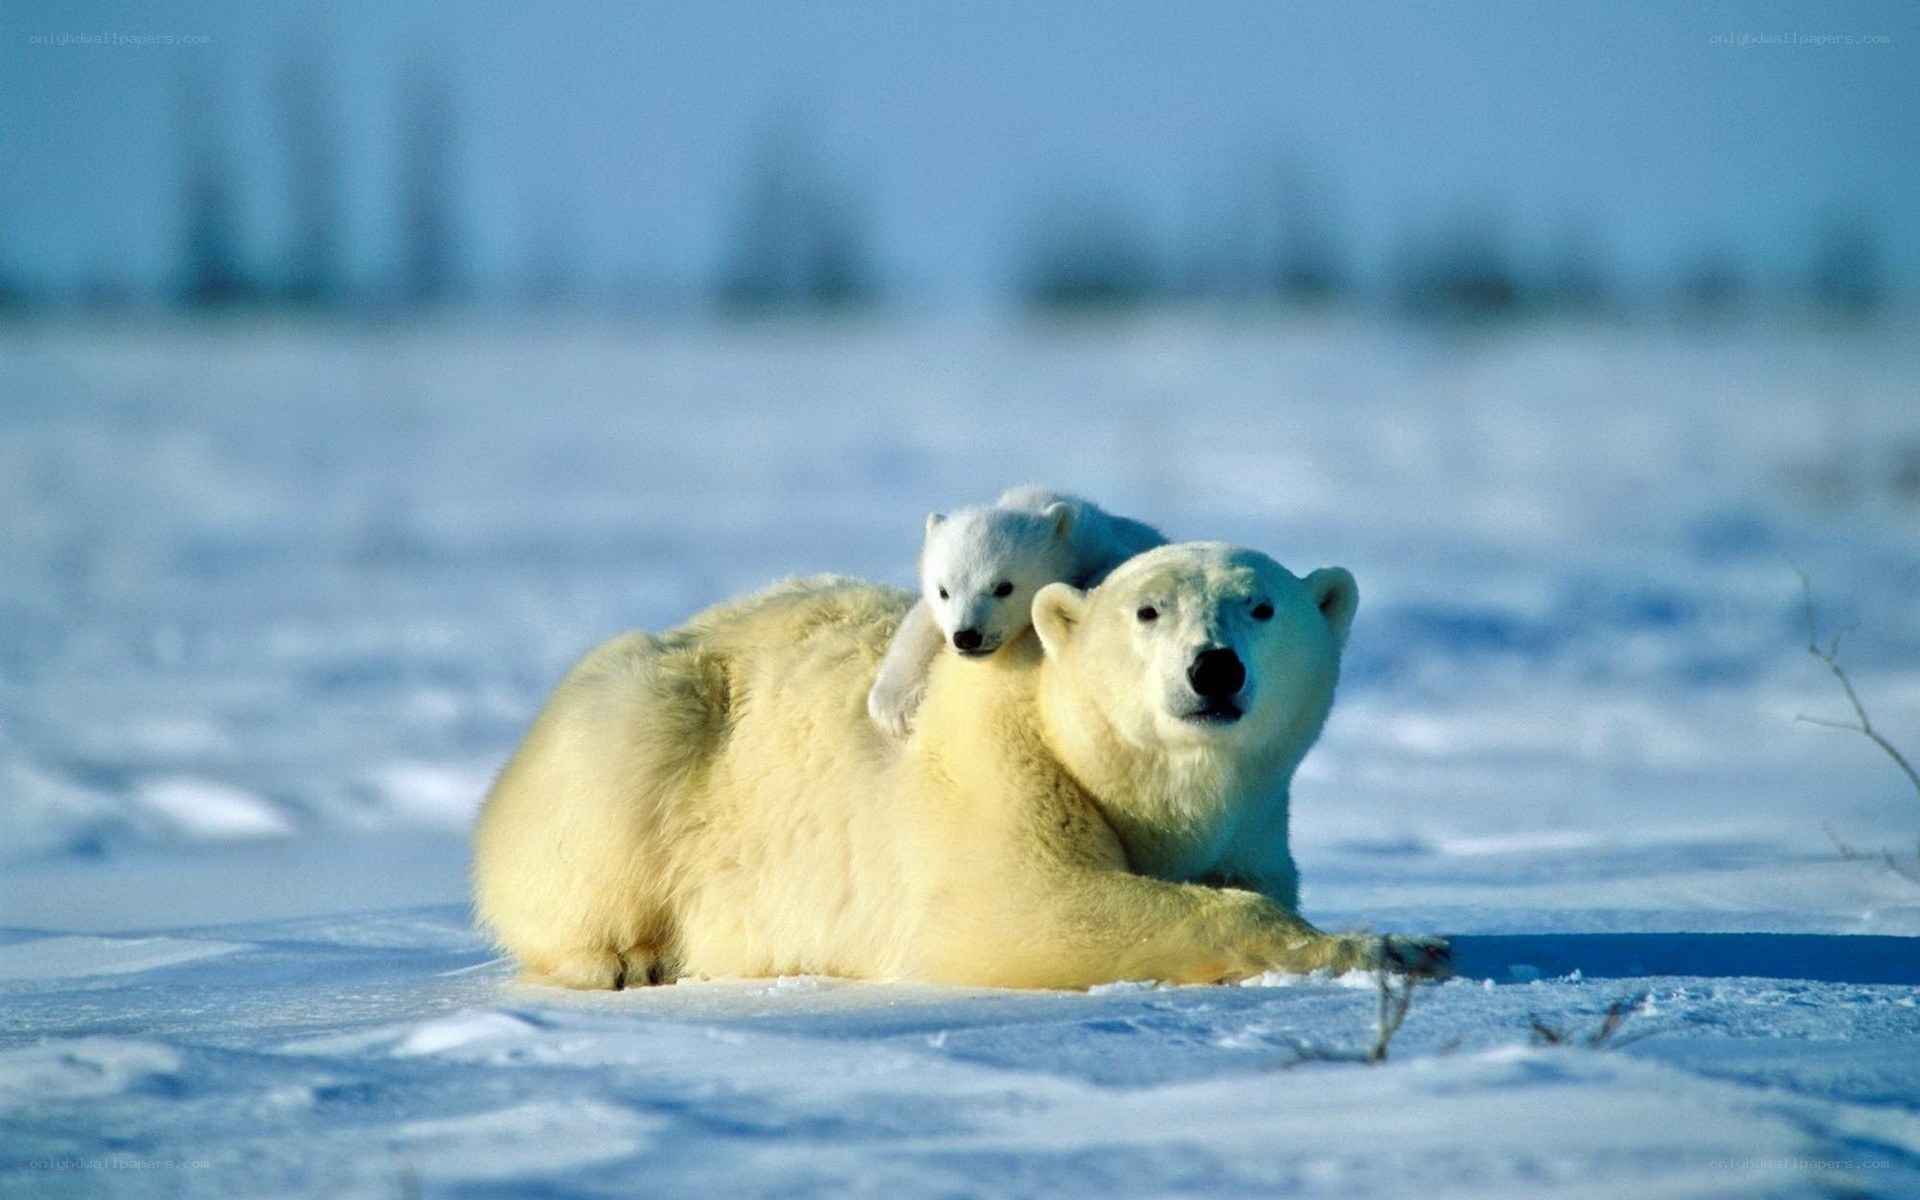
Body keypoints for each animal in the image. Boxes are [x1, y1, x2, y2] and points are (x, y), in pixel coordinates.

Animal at [470, 542, 1449, 990]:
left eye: (1262, 605)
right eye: (1149, 610)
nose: (1214, 668)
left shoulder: (1253, 823)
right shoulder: (998, 768)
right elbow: (1031, 906)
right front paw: (1396, 944)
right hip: (644, 722)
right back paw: (625, 958)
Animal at [866, 486, 1167, 738]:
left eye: (1003, 587)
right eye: (943, 591)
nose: (967, 637)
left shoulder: (1101, 547)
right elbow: (919, 621)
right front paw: (894, 706)